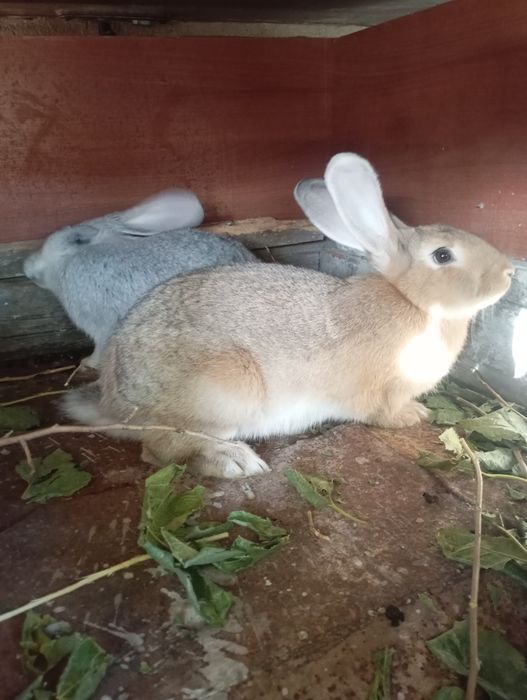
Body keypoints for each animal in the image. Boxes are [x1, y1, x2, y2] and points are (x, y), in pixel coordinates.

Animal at [63, 153, 514, 479]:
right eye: (443, 256)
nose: (509, 272)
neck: (413, 302)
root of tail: (113, 402)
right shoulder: (380, 393)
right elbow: (383, 413)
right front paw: (413, 416)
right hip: (224, 390)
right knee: (159, 451)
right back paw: (233, 462)